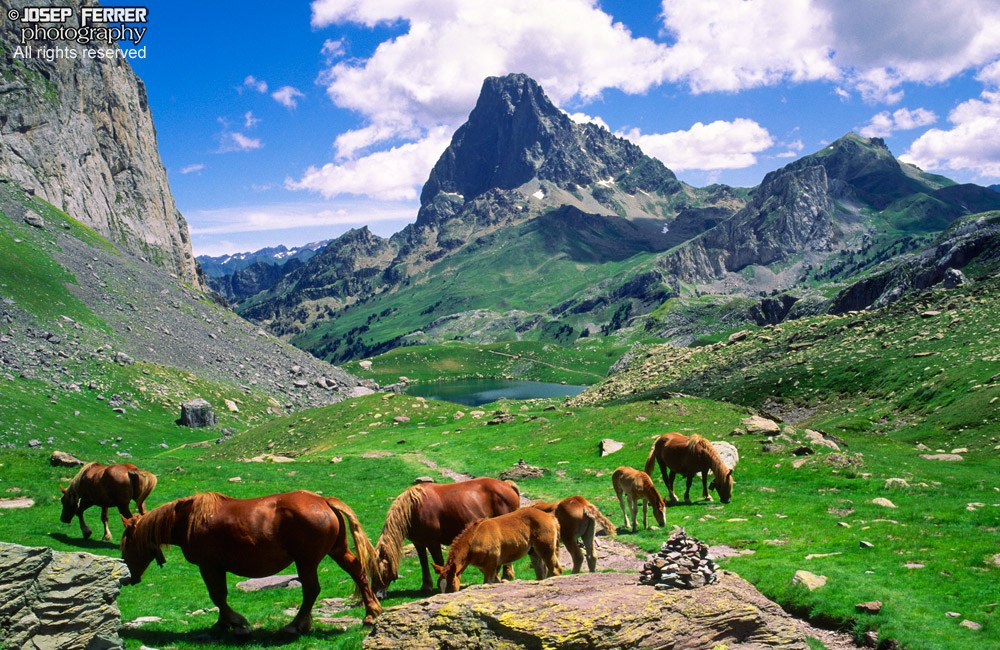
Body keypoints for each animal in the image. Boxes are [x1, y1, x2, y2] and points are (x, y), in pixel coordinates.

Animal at [119, 490, 382, 636]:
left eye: (126, 544)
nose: (129, 577)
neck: (188, 520)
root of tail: (324, 501)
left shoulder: (209, 566)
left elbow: (218, 596)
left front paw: (234, 622)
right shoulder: (216, 567)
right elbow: (220, 597)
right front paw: (223, 624)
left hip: (306, 561)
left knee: (311, 590)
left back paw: (295, 625)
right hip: (337, 551)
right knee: (357, 572)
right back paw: (370, 614)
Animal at [372, 477, 521, 594]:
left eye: (382, 571)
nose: (378, 595)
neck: (413, 509)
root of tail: (507, 485)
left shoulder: (433, 542)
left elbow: (439, 561)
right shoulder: (419, 543)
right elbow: (423, 562)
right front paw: (426, 586)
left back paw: (506, 576)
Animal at [432, 507, 561, 592]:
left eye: (452, 583)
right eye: (438, 585)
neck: (474, 538)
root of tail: (550, 517)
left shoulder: (490, 565)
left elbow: (487, 583)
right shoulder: (486, 567)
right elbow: (496, 582)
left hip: (546, 550)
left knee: (555, 570)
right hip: (533, 552)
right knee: (541, 572)